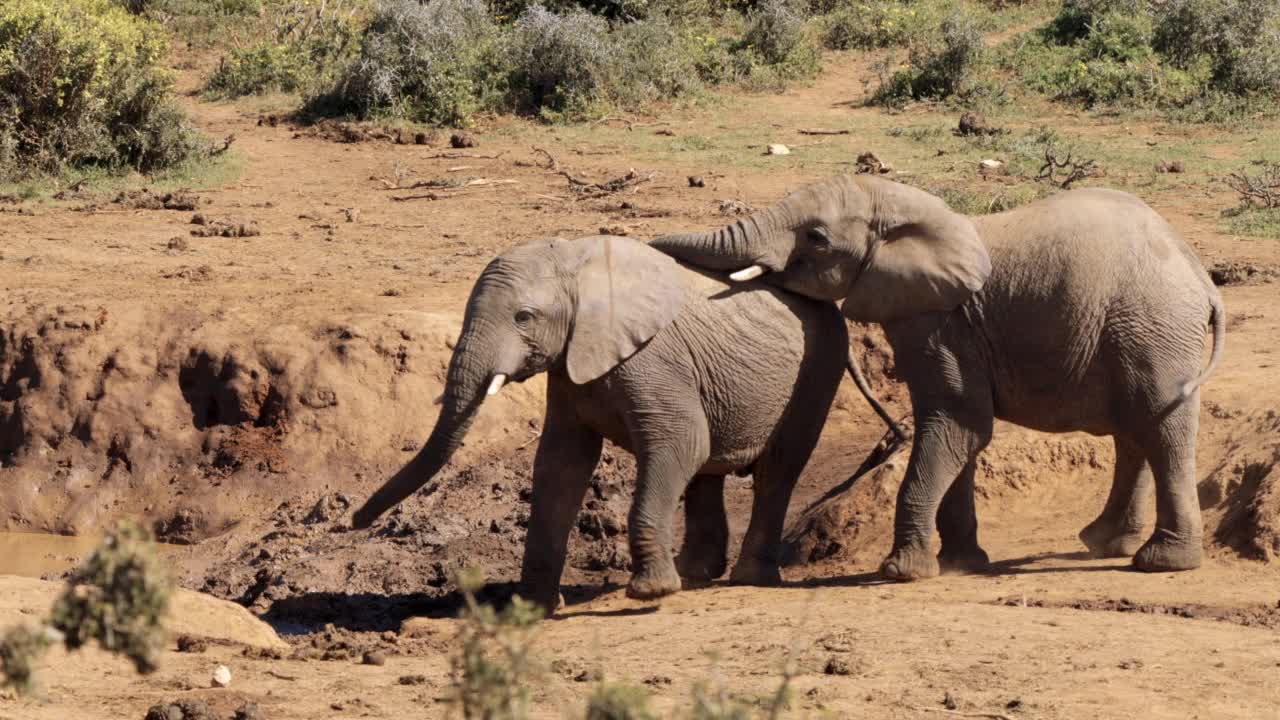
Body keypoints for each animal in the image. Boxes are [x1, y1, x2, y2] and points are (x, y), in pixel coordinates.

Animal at [350, 234, 890, 604]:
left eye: (524, 317)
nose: (352, 521)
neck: (575, 263)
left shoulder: (653, 359)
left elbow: (680, 443)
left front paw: (649, 593)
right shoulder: (570, 369)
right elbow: (562, 464)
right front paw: (535, 607)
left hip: (816, 370)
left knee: (777, 470)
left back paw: (745, 579)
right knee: (709, 471)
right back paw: (696, 573)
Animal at [655, 176, 1223, 579]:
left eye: (815, 238)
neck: (911, 208)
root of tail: (1203, 278)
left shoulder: (937, 320)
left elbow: (957, 424)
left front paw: (901, 571)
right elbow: (962, 435)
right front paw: (962, 564)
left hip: (1153, 330)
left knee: (1161, 431)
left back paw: (1160, 562)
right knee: (1135, 432)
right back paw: (1105, 544)